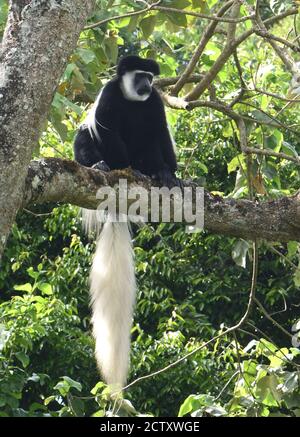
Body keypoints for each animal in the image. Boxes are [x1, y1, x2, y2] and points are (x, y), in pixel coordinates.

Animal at [73, 55, 179, 392]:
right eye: (138, 75)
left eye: (149, 76)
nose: (145, 84)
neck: (132, 99)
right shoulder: (109, 95)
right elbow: (105, 130)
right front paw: (114, 165)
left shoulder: (154, 102)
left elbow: (159, 130)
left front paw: (170, 173)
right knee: (85, 135)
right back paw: (105, 166)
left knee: (149, 136)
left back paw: (158, 173)